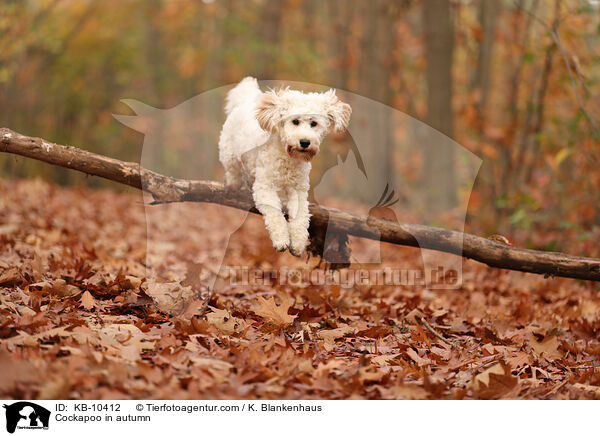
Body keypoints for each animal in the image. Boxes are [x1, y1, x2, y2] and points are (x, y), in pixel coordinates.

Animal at [219, 77, 352, 255]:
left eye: (314, 123)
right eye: (295, 121)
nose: (305, 142)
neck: (288, 157)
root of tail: (246, 102)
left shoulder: (298, 190)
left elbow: (301, 217)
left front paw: (297, 243)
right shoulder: (266, 187)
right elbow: (275, 215)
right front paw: (281, 240)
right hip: (229, 153)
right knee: (232, 170)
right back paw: (233, 184)